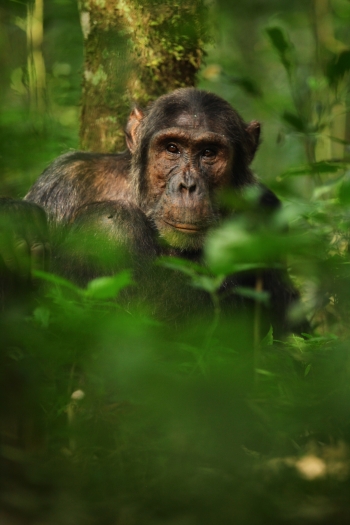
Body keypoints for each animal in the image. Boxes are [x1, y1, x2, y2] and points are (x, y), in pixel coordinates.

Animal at [0, 88, 302, 336]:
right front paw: (17, 223)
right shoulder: (63, 181)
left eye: (209, 152)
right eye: (172, 148)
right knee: (110, 222)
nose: (187, 185)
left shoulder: (266, 211)